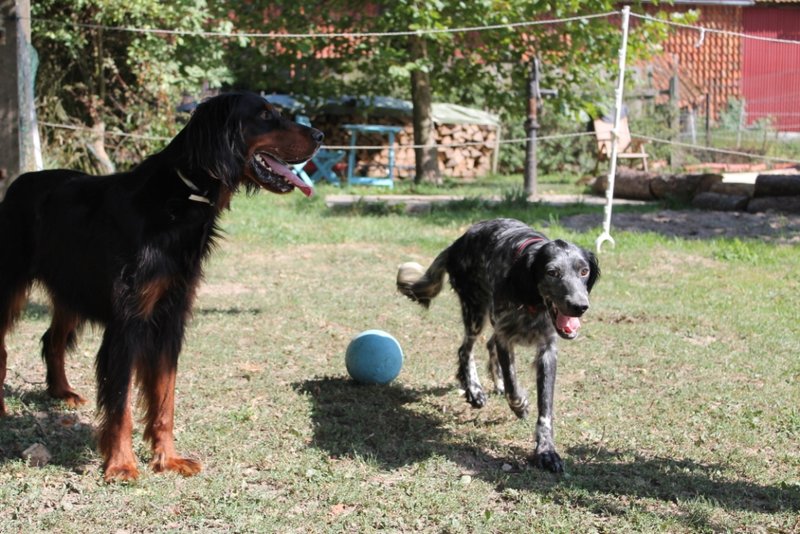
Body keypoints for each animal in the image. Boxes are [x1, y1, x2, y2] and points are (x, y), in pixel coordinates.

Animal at [396, 218, 596, 474]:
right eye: (552, 272)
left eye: (584, 271)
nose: (580, 306)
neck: (531, 299)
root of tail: (458, 242)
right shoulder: (505, 336)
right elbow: (513, 387)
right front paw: (520, 405)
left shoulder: (547, 350)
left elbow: (545, 410)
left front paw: (546, 451)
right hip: (475, 311)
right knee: (465, 350)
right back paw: (474, 389)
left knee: (486, 346)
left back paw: (493, 383)